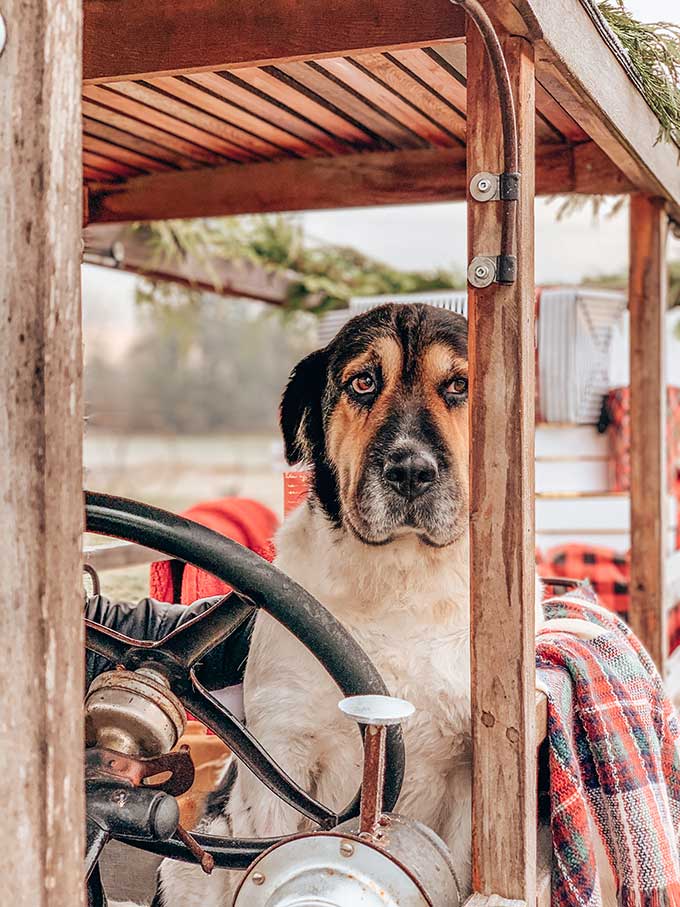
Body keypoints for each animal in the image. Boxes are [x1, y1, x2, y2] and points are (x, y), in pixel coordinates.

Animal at [157, 306, 544, 907]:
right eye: (362, 382)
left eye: (458, 385)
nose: (410, 471)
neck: (398, 584)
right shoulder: (284, 751)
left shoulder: (470, 773)